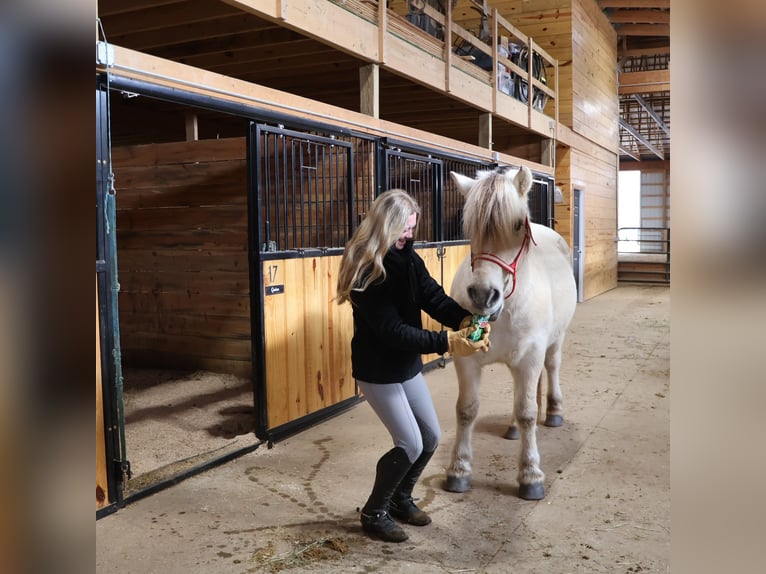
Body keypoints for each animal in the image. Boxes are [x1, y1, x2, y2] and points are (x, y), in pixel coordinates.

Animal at [444, 165, 577, 500]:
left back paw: (554, 412)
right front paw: (459, 470)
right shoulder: (466, 360)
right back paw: (513, 427)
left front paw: (530, 476)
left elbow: (528, 411)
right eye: (469, 226)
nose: (482, 295)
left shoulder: (530, 357)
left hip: (555, 342)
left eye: (517, 225)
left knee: (551, 369)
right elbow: (466, 410)